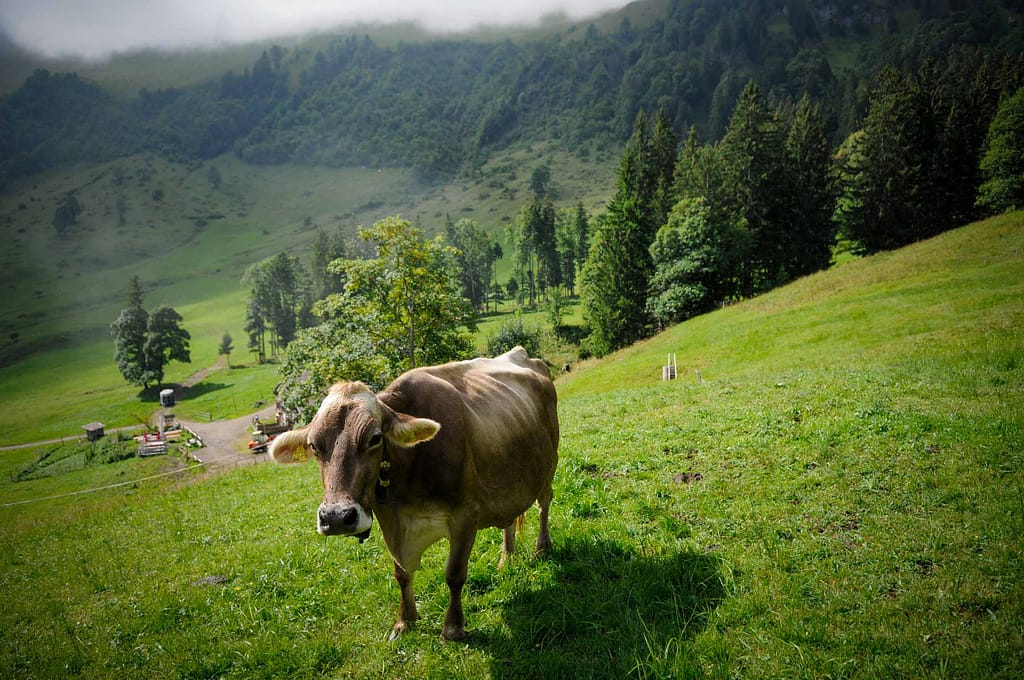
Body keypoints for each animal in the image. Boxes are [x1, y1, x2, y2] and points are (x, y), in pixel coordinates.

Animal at [268, 348, 561, 639]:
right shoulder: (390, 519)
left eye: (375, 438)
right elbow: (401, 573)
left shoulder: (466, 515)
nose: (337, 517)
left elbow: (454, 573)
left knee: (543, 504)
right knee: (509, 519)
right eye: (314, 446)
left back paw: (542, 547)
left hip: (549, 466)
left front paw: (453, 627)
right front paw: (404, 620)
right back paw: (506, 558)